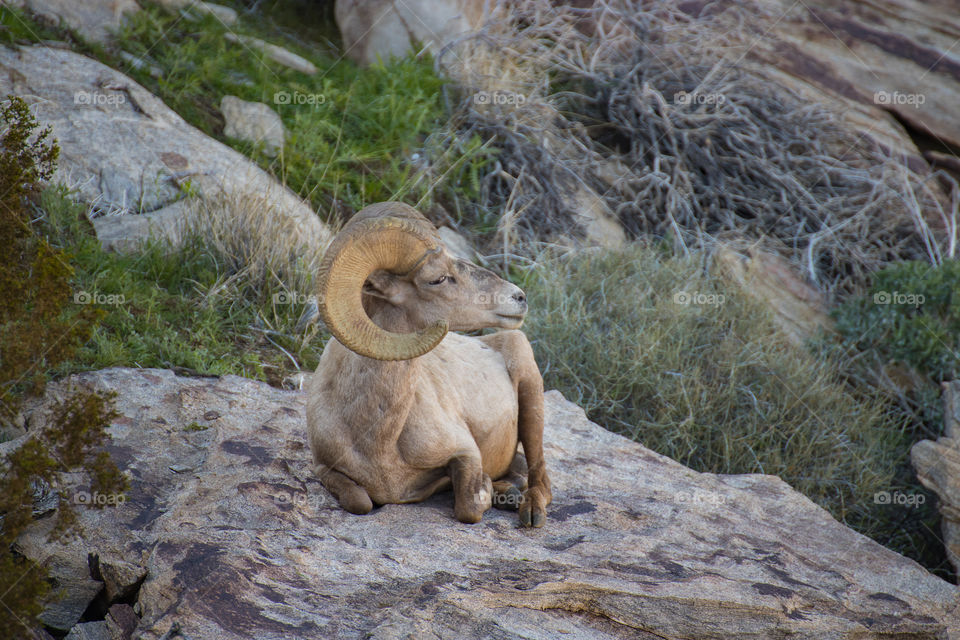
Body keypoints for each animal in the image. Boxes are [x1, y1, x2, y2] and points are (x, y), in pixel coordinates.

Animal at [304, 202, 552, 528]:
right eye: (438, 278)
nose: (519, 297)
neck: (377, 439)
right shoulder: (324, 467)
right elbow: (359, 502)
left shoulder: (466, 451)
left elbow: (468, 507)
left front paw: (486, 489)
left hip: (531, 397)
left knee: (540, 478)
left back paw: (528, 509)